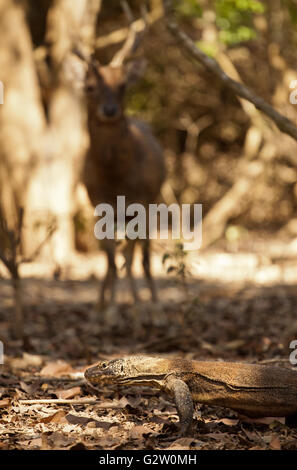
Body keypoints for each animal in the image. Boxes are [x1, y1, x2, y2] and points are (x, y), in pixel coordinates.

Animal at [74, 5, 165, 328]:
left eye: (123, 85)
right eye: (90, 87)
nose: (110, 110)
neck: (115, 177)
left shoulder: (142, 198)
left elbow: (131, 254)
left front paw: (138, 310)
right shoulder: (96, 201)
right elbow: (111, 257)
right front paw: (109, 312)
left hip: (153, 201)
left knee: (143, 253)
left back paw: (153, 309)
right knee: (115, 255)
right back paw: (102, 307)